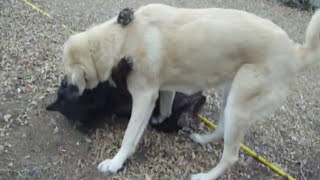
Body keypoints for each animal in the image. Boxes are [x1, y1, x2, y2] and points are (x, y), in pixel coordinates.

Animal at [46, 57, 206, 133]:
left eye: (63, 86)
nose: (65, 80)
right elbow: (119, 77)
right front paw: (123, 66)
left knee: (199, 97)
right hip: (165, 122)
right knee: (192, 105)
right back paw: (187, 116)